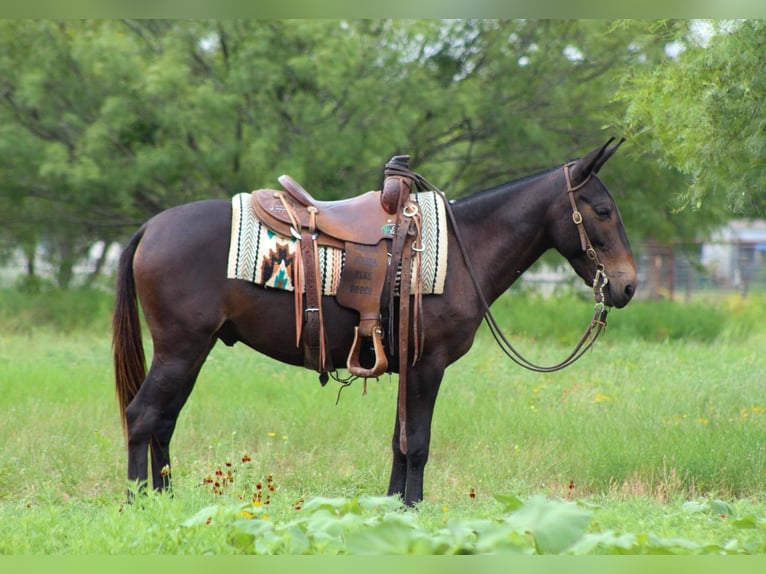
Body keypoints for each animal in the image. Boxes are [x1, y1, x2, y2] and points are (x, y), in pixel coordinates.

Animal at [113, 138, 637, 507]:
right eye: (602, 210)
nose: (629, 286)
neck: (463, 249)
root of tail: (151, 227)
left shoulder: (409, 367)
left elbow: (399, 442)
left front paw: (391, 508)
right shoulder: (428, 365)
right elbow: (418, 442)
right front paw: (413, 509)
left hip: (190, 351)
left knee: (163, 422)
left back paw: (165, 500)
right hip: (180, 349)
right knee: (143, 417)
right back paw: (138, 503)